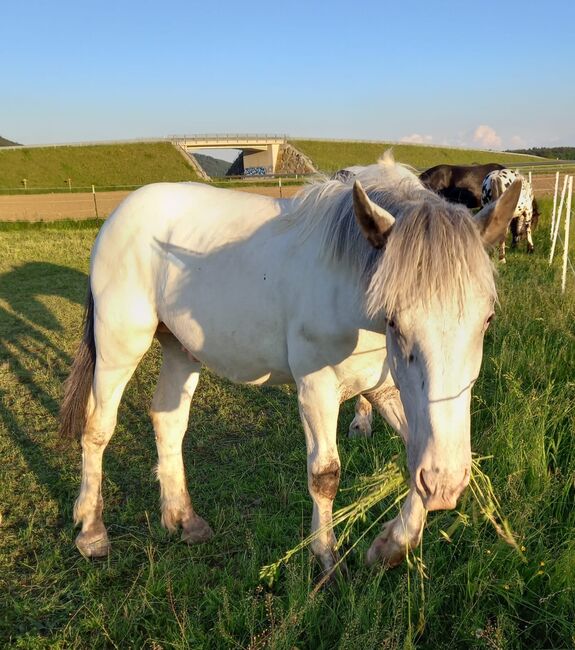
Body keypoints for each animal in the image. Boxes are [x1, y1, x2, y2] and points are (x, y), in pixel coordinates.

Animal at [59, 152, 520, 572]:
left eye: (487, 318)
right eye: (393, 319)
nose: (448, 483)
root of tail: (121, 213)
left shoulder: (386, 389)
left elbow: (414, 456)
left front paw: (391, 545)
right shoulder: (317, 390)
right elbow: (325, 475)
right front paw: (327, 560)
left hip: (179, 349)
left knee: (168, 421)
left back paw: (183, 519)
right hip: (119, 347)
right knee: (97, 430)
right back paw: (92, 532)